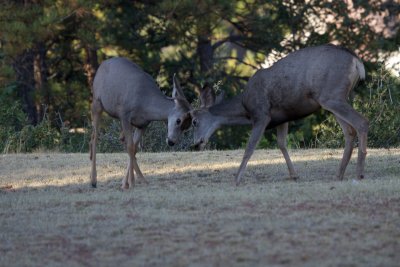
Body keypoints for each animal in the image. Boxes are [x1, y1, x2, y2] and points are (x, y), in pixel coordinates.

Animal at [89, 57, 192, 189]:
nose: (171, 142)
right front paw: (133, 182)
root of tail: (102, 64)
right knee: (95, 136)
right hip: (97, 102)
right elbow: (130, 147)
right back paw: (93, 180)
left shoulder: (142, 124)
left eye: (187, 126)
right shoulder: (124, 115)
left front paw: (132, 181)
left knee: (121, 138)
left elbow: (134, 148)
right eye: (178, 120)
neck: (145, 104)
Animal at [170, 44, 368, 186]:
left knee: (361, 122)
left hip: (332, 95)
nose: (196, 143)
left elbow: (250, 147)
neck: (245, 109)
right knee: (349, 131)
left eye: (194, 122)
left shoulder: (262, 114)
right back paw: (339, 174)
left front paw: (236, 179)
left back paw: (359, 173)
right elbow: (282, 144)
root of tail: (357, 63)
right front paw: (294, 175)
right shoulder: (283, 117)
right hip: (334, 98)